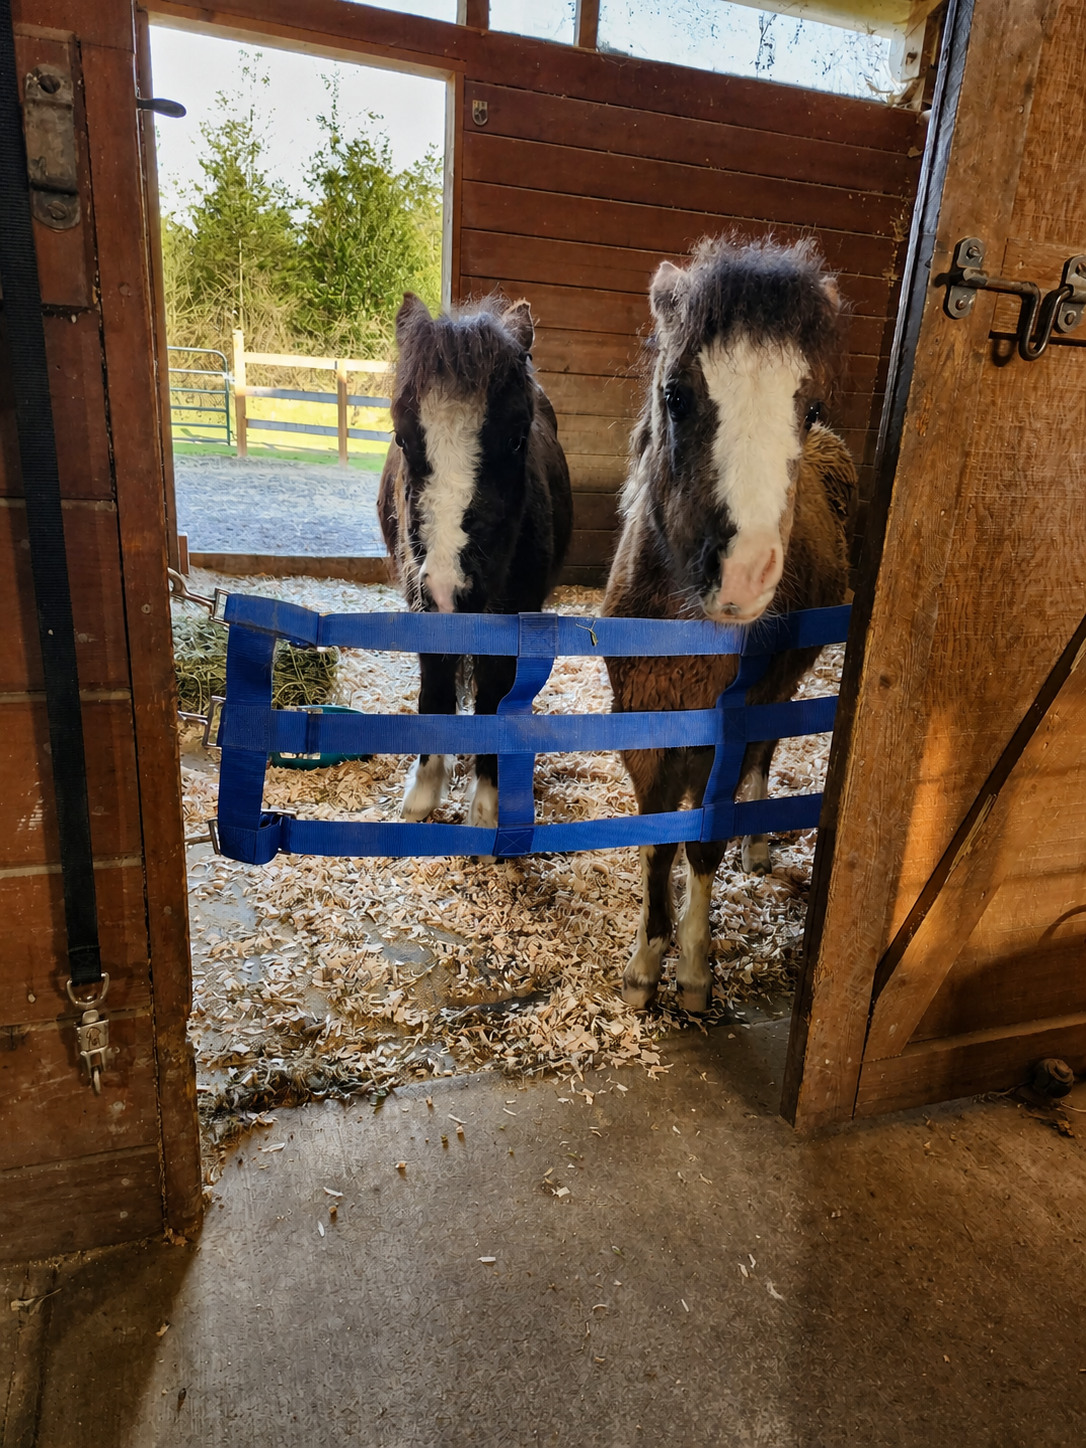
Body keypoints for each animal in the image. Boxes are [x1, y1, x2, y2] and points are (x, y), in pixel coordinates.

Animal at [378, 292, 573, 829]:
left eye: (517, 437)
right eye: (402, 437)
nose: (450, 588)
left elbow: (494, 695)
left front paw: (487, 804)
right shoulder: (421, 604)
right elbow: (435, 688)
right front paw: (424, 792)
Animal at [602, 235, 856, 1014]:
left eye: (809, 407)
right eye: (676, 395)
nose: (743, 575)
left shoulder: (727, 728)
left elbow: (703, 843)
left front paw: (690, 970)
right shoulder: (645, 728)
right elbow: (660, 839)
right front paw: (642, 967)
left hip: (781, 687)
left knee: (764, 755)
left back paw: (758, 841)